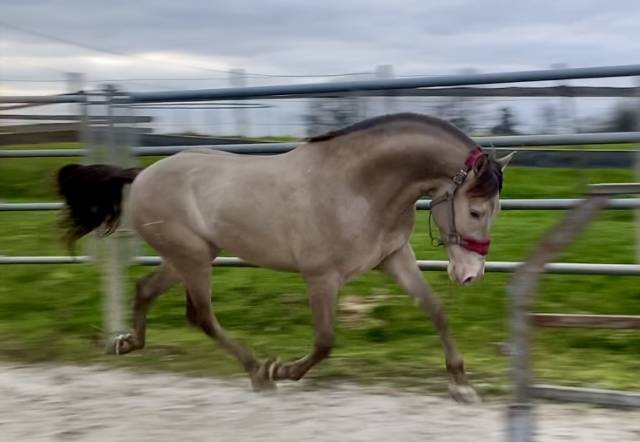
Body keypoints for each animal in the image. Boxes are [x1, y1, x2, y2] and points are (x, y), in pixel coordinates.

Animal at [56, 113, 513, 403]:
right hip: (193, 258)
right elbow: (325, 340)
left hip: (186, 256)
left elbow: (435, 310)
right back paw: (260, 372)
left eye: (497, 210)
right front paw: (285, 371)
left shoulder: (394, 258)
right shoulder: (321, 277)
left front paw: (461, 384)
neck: (360, 186)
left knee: (148, 290)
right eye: (476, 211)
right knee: (200, 315)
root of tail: (141, 174)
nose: (470, 275)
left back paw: (126, 342)